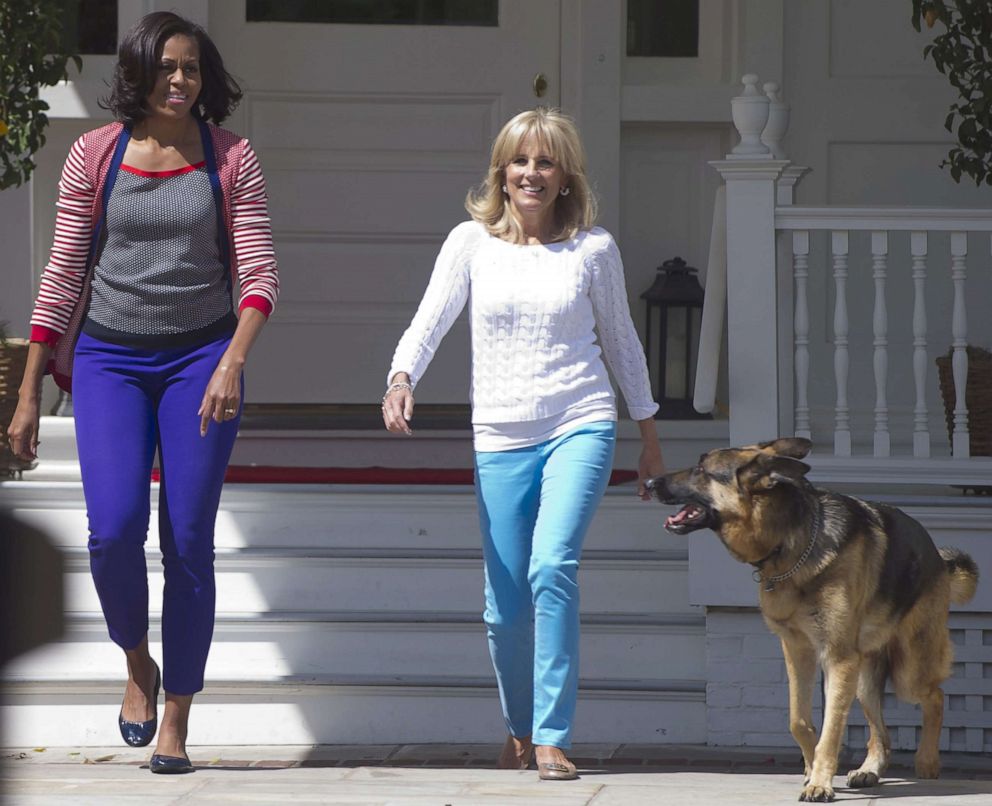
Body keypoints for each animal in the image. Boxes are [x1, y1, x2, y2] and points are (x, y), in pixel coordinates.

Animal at [648, 438, 980, 804]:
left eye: (700, 470)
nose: (648, 483)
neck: (791, 544)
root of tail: (939, 559)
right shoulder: (798, 651)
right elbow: (799, 721)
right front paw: (811, 771)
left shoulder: (837, 659)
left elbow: (831, 729)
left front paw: (820, 781)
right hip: (863, 679)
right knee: (881, 731)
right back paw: (870, 769)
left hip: (908, 670)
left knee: (935, 697)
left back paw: (927, 760)